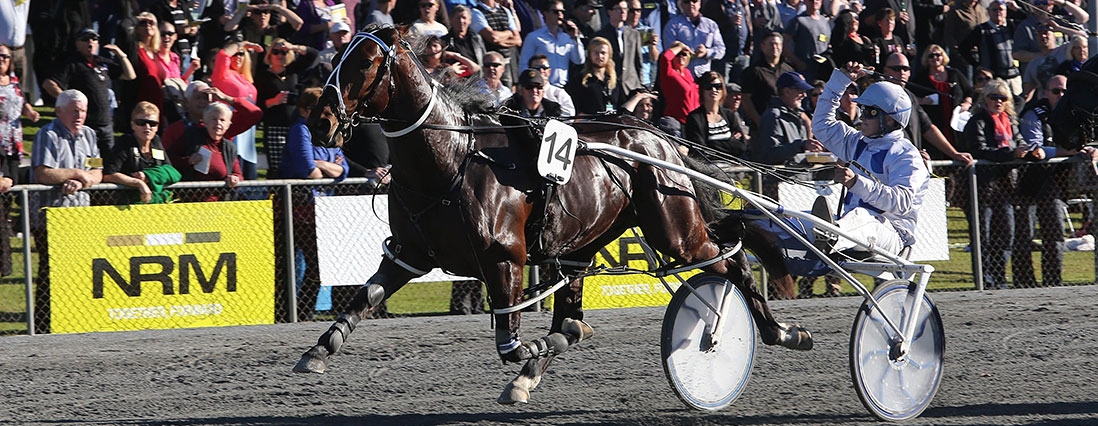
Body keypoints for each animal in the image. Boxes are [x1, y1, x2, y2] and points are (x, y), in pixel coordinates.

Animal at [294, 25, 812, 404]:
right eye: (337, 57)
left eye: (364, 62)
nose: (320, 120)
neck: (452, 159)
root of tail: (655, 133)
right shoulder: (410, 254)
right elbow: (364, 297)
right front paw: (317, 352)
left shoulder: (505, 258)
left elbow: (511, 341)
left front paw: (536, 350)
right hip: (581, 247)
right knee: (575, 311)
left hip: (675, 230)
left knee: (731, 257)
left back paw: (780, 331)